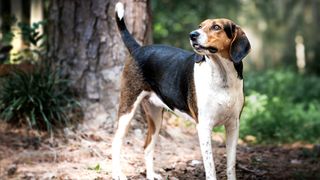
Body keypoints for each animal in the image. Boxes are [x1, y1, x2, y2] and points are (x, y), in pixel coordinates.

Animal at [112, 1, 250, 180]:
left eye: (216, 27)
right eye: (200, 26)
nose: (192, 35)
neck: (222, 77)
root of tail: (138, 49)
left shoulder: (233, 125)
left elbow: (231, 165)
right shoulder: (204, 127)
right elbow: (210, 168)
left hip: (156, 116)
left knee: (147, 147)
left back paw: (151, 175)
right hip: (127, 110)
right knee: (116, 143)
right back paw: (118, 174)